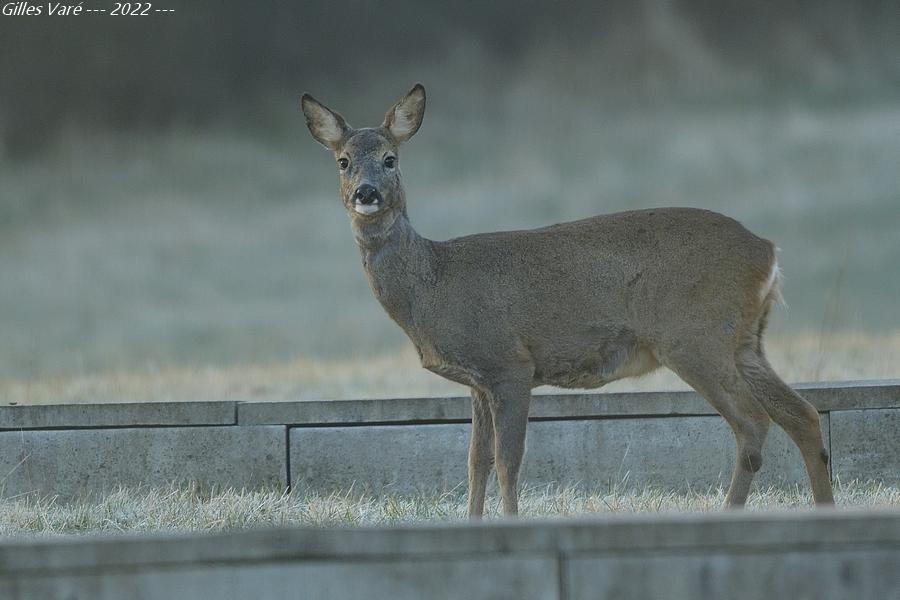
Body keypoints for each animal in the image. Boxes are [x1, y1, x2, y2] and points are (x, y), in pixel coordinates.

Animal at [298, 82, 832, 516]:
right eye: (343, 162)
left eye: (391, 159)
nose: (366, 193)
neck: (432, 284)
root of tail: (768, 251)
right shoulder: (477, 381)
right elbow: (475, 462)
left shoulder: (509, 363)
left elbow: (508, 462)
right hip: (743, 340)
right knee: (802, 415)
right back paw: (824, 508)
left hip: (694, 334)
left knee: (753, 423)